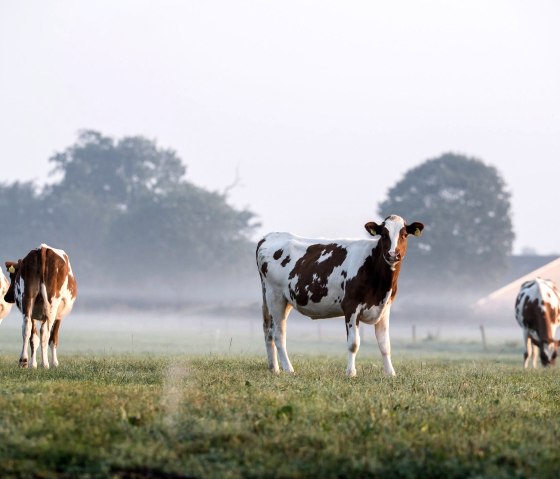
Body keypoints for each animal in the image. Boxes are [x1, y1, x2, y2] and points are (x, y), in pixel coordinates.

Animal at [256, 216, 422, 376]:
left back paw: (274, 368)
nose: (393, 254)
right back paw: (288, 369)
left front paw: (390, 373)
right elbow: (354, 343)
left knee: (268, 331)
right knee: (278, 334)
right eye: (384, 234)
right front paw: (351, 372)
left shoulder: (384, 308)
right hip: (275, 296)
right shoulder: (351, 306)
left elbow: (385, 345)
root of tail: (269, 236)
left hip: (283, 299)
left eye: (404, 234)